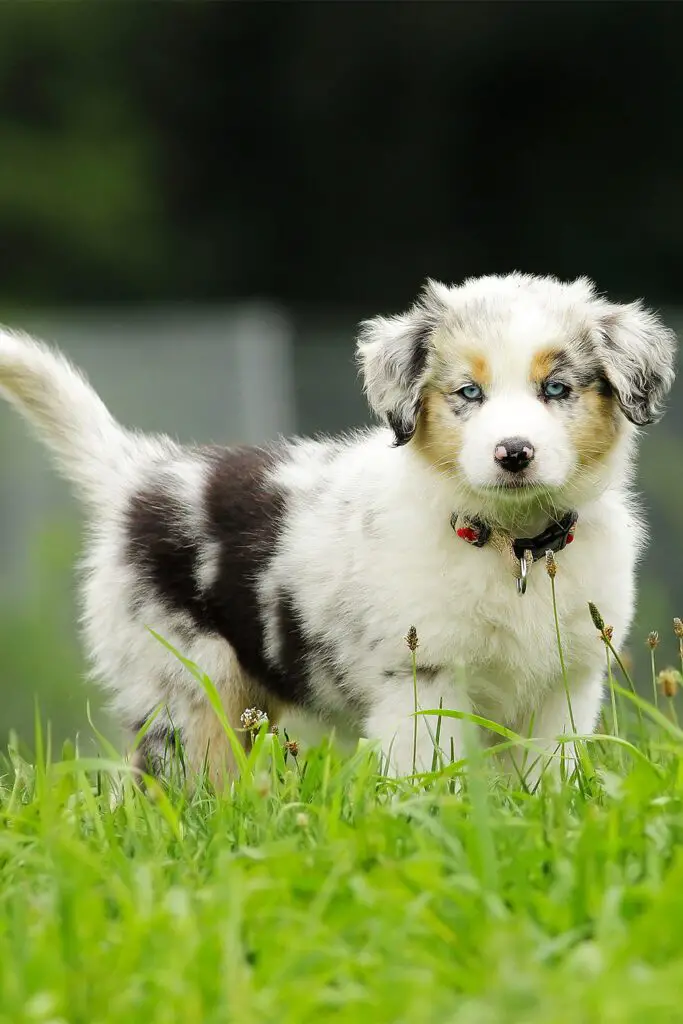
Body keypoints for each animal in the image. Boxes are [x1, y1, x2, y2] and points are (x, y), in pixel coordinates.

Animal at [0, 274, 675, 782]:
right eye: (467, 393)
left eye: (556, 388)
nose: (514, 453)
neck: (513, 545)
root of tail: (141, 475)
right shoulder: (421, 676)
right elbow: (430, 774)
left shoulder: (566, 682)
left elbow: (548, 776)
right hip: (185, 684)